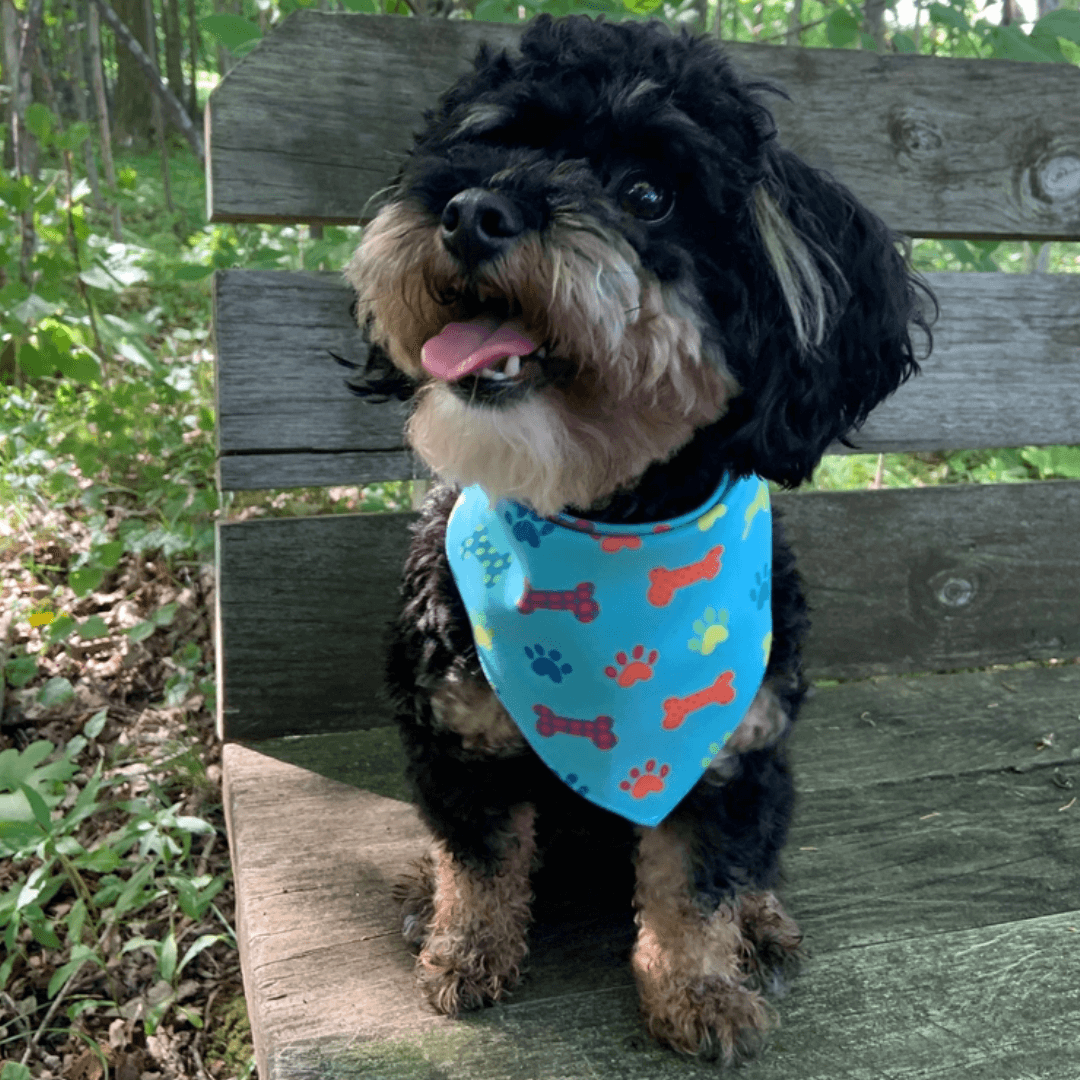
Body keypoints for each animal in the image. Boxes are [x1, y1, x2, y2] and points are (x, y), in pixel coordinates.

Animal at [343, 14, 928, 1062]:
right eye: (487, 144)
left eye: (648, 195)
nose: (471, 210)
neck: (602, 519)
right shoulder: (458, 742)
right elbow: (479, 863)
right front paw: (465, 949)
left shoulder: (728, 766)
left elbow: (695, 890)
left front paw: (699, 992)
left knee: (755, 866)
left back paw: (760, 923)